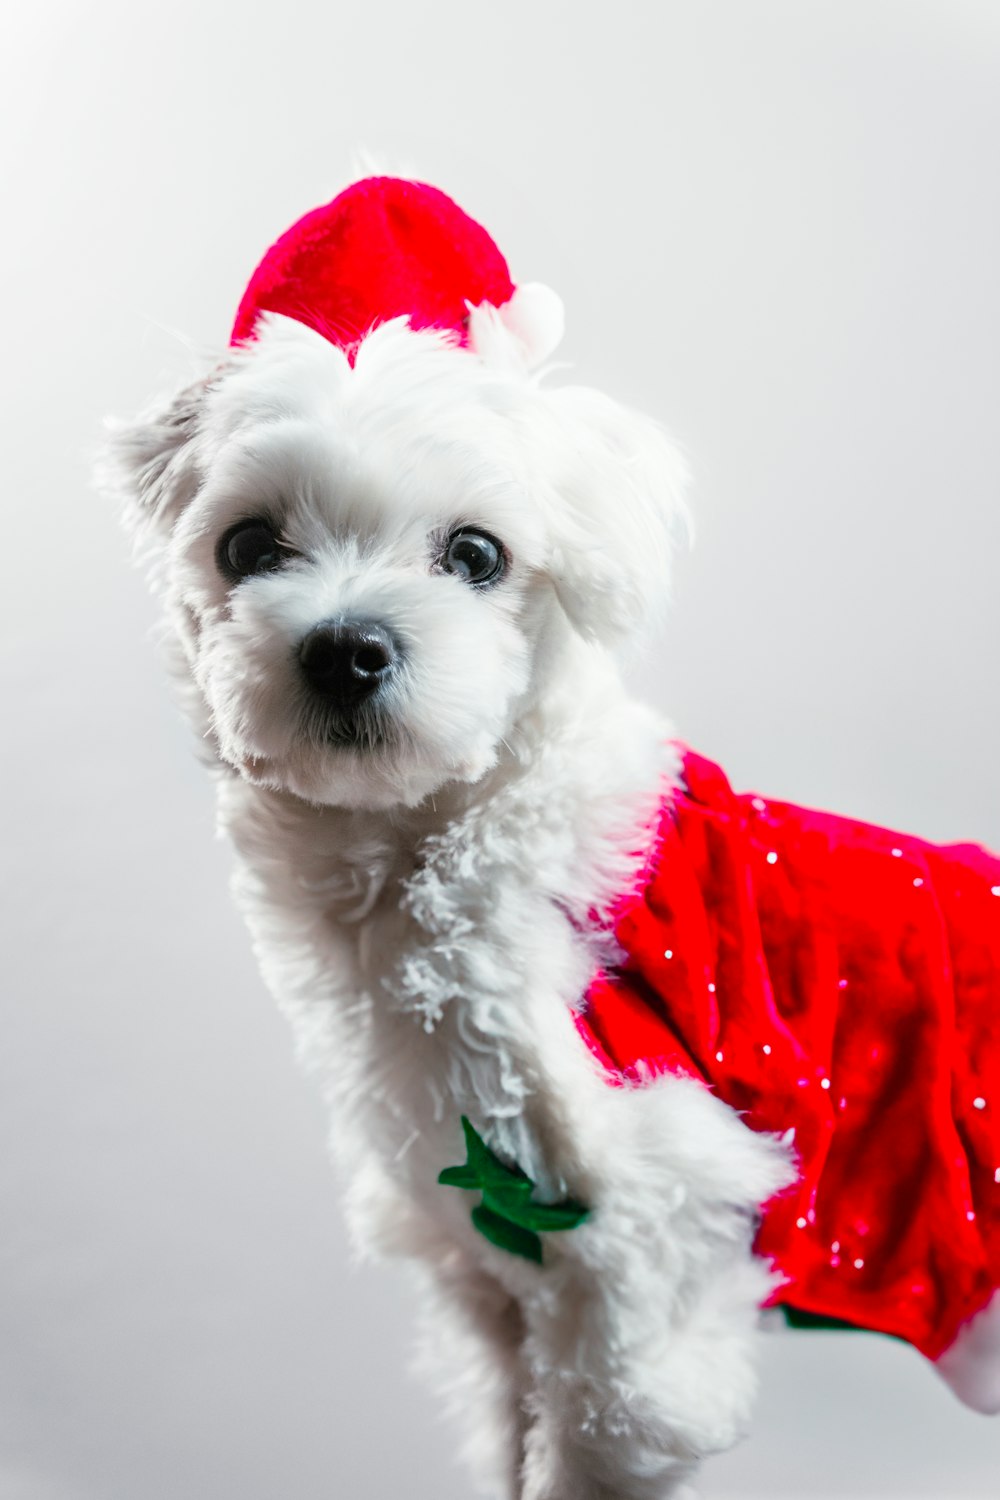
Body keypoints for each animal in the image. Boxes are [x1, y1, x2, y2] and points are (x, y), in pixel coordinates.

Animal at [103, 178, 1000, 1500]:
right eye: (248, 546)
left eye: (477, 554)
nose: (346, 648)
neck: (444, 854)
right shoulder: (491, 1290)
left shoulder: (636, 1270)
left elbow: (603, 1437)